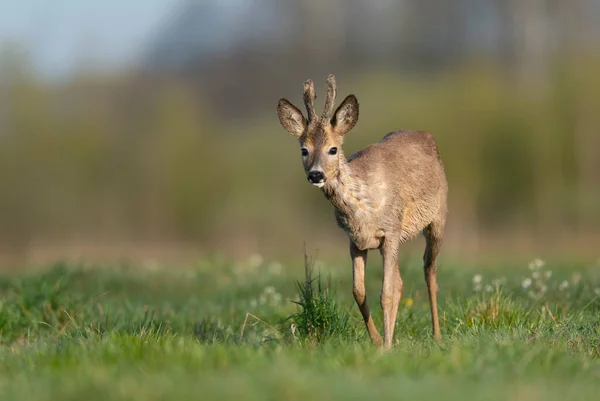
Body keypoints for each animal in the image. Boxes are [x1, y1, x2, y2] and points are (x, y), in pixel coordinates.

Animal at [276, 74, 446, 346]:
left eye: (333, 149)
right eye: (304, 150)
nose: (316, 175)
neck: (363, 205)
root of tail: (424, 134)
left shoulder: (390, 231)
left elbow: (386, 293)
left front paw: (386, 345)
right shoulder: (355, 240)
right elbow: (359, 291)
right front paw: (377, 340)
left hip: (437, 218)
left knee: (429, 271)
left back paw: (437, 335)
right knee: (401, 280)